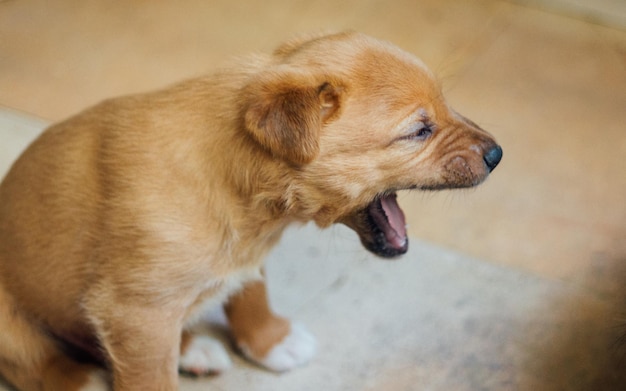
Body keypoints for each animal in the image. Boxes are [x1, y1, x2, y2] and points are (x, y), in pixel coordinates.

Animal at [0, 32, 498, 390]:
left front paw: (271, 342)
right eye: (419, 131)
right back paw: (80, 378)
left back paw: (192, 349)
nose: (498, 154)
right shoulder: (135, 311)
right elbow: (149, 376)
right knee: (32, 363)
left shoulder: (246, 252)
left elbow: (251, 290)